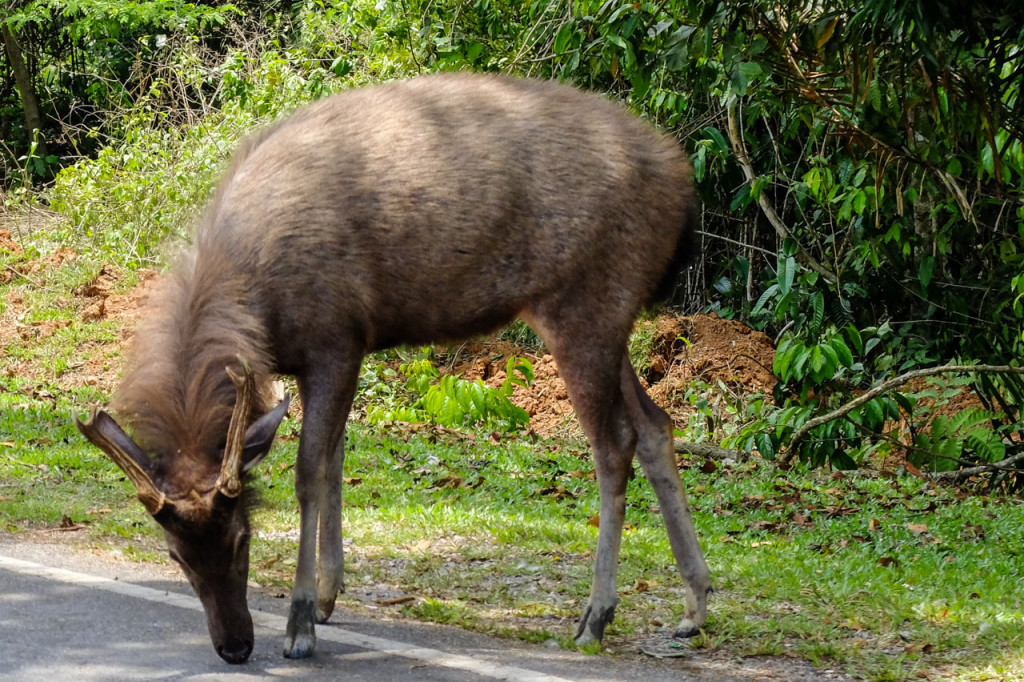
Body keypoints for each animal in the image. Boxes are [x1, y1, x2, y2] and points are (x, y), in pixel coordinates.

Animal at [75, 71, 708, 659]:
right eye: (175, 555)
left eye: (242, 538)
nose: (233, 646)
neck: (252, 302)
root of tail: (682, 181)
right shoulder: (324, 355)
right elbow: (334, 462)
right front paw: (328, 595)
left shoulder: (336, 337)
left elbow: (310, 472)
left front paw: (300, 622)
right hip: (612, 318)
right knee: (656, 425)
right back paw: (693, 606)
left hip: (583, 303)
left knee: (614, 444)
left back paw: (596, 616)